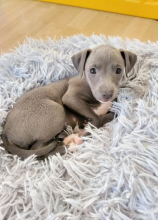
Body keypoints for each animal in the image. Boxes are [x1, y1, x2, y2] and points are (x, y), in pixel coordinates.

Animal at [1, 44, 137, 158]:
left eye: (119, 70)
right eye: (92, 70)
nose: (107, 95)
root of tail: (5, 133)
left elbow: (113, 113)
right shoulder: (71, 97)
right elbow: (97, 119)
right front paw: (86, 131)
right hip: (55, 111)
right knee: (37, 152)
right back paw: (72, 142)